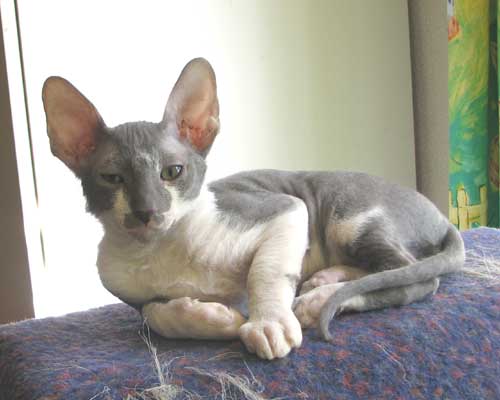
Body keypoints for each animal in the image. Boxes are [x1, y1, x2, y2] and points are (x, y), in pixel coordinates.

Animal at [42, 58, 464, 360]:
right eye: (113, 178)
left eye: (172, 172)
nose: (147, 212)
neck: (161, 248)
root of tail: (441, 216)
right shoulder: (129, 292)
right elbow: (155, 315)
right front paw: (211, 318)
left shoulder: (285, 208)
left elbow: (266, 272)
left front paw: (268, 323)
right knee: (389, 270)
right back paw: (324, 282)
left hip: (348, 212)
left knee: (413, 276)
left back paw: (317, 300)